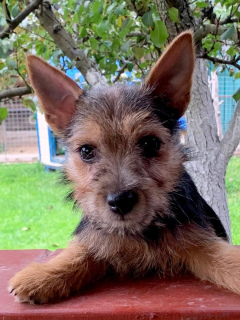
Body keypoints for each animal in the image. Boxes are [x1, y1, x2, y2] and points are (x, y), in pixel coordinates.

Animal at [7, 31, 240, 304]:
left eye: (150, 143)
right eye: (86, 151)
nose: (120, 201)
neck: (141, 232)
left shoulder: (201, 243)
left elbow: (227, 259)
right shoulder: (98, 236)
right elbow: (80, 251)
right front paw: (43, 275)